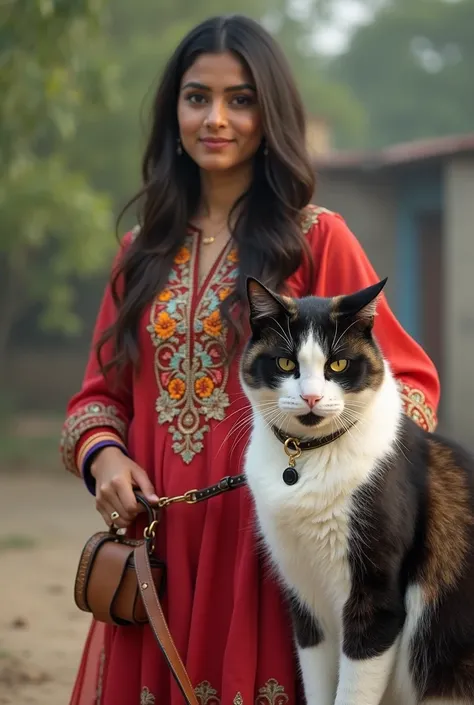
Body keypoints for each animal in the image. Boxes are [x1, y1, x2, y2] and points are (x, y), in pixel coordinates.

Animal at [239, 276, 474, 704]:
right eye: (285, 363)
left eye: (337, 364)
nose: (311, 396)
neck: (306, 459)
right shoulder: (306, 600)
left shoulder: (375, 599)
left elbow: (352, 692)